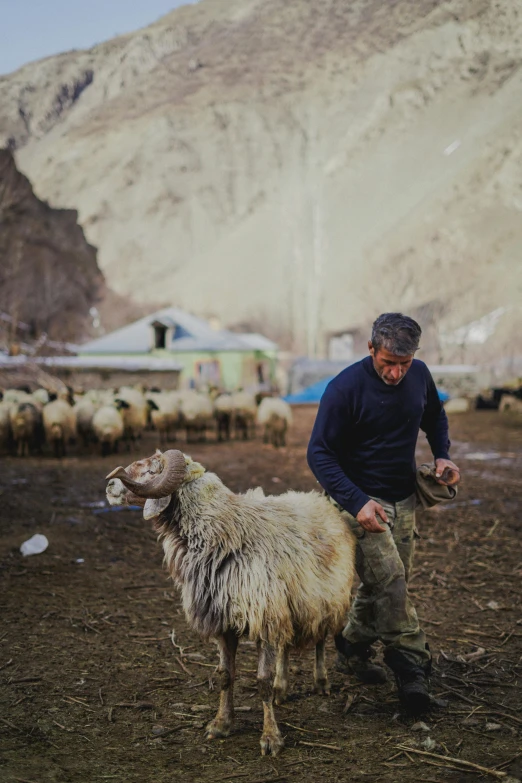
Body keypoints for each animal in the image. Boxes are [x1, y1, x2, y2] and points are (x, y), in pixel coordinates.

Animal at [107, 450, 356, 756]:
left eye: (149, 470)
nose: (109, 486)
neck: (221, 530)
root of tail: (318, 499)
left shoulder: (264, 618)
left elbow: (261, 683)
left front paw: (271, 738)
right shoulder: (224, 621)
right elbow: (225, 675)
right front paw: (221, 724)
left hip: (325, 601)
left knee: (321, 639)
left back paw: (320, 682)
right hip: (288, 606)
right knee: (285, 646)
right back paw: (282, 687)